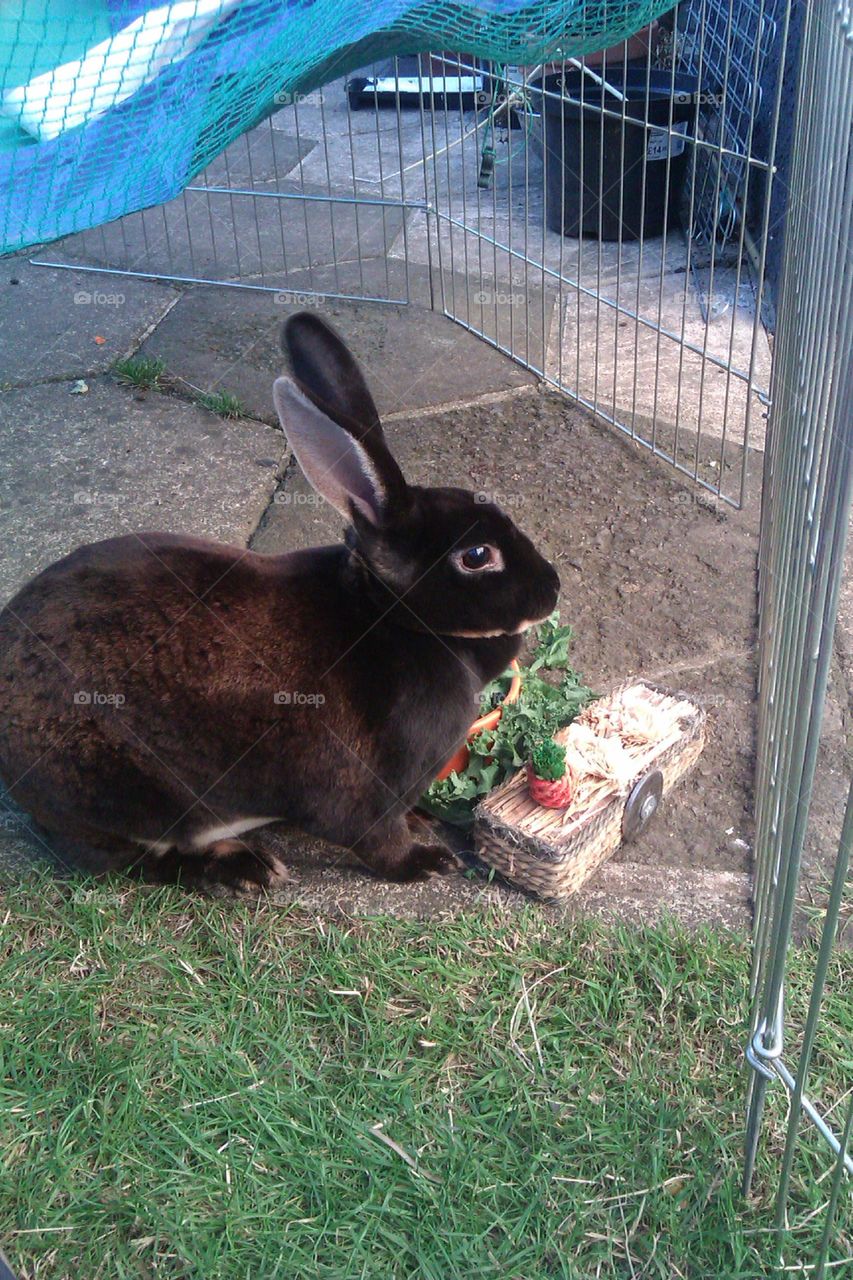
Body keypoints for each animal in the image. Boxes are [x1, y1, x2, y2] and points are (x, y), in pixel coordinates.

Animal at [0, 312, 558, 890]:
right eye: (476, 555)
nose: (553, 587)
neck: (394, 617)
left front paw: (422, 817)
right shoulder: (360, 792)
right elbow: (375, 840)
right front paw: (427, 862)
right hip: (125, 792)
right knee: (134, 859)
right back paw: (249, 868)